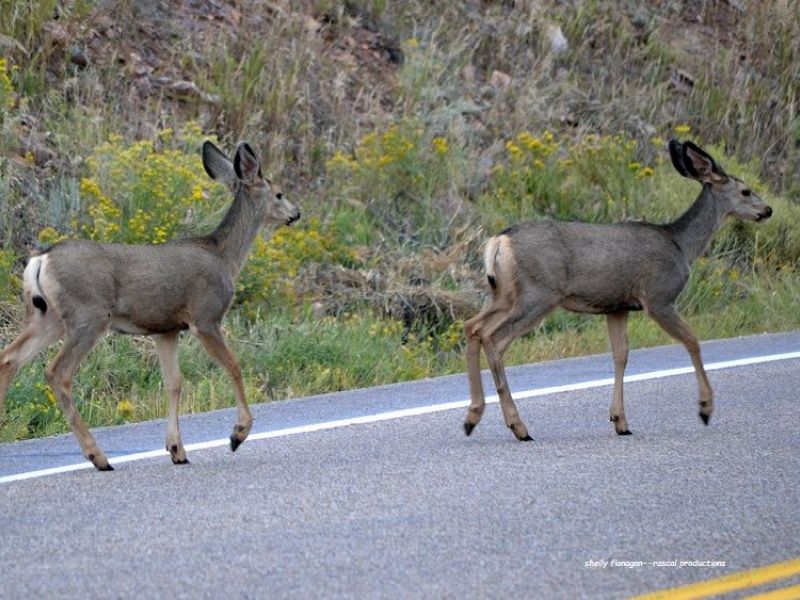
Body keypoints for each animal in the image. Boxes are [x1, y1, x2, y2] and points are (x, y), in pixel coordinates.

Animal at [0, 141, 300, 470]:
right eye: (279, 193)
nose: (296, 213)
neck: (225, 256)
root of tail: (41, 259)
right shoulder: (205, 316)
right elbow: (233, 365)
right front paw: (238, 433)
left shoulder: (166, 329)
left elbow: (173, 382)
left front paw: (176, 449)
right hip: (89, 315)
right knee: (57, 372)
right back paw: (98, 456)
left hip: (47, 316)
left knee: (9, 358)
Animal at [463, 139, 772, 441]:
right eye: (746, 191)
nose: (768, 210)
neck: (682, 245)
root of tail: (499, 241)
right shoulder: (658, 296)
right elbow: (692, 341)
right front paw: (705, 408)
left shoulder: (617, 307)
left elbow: (621, 355)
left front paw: (620, 420)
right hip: (538, 294)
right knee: (494, 338)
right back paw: (518, 427)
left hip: (505, 294)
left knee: (473, 326)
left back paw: (473, 417)